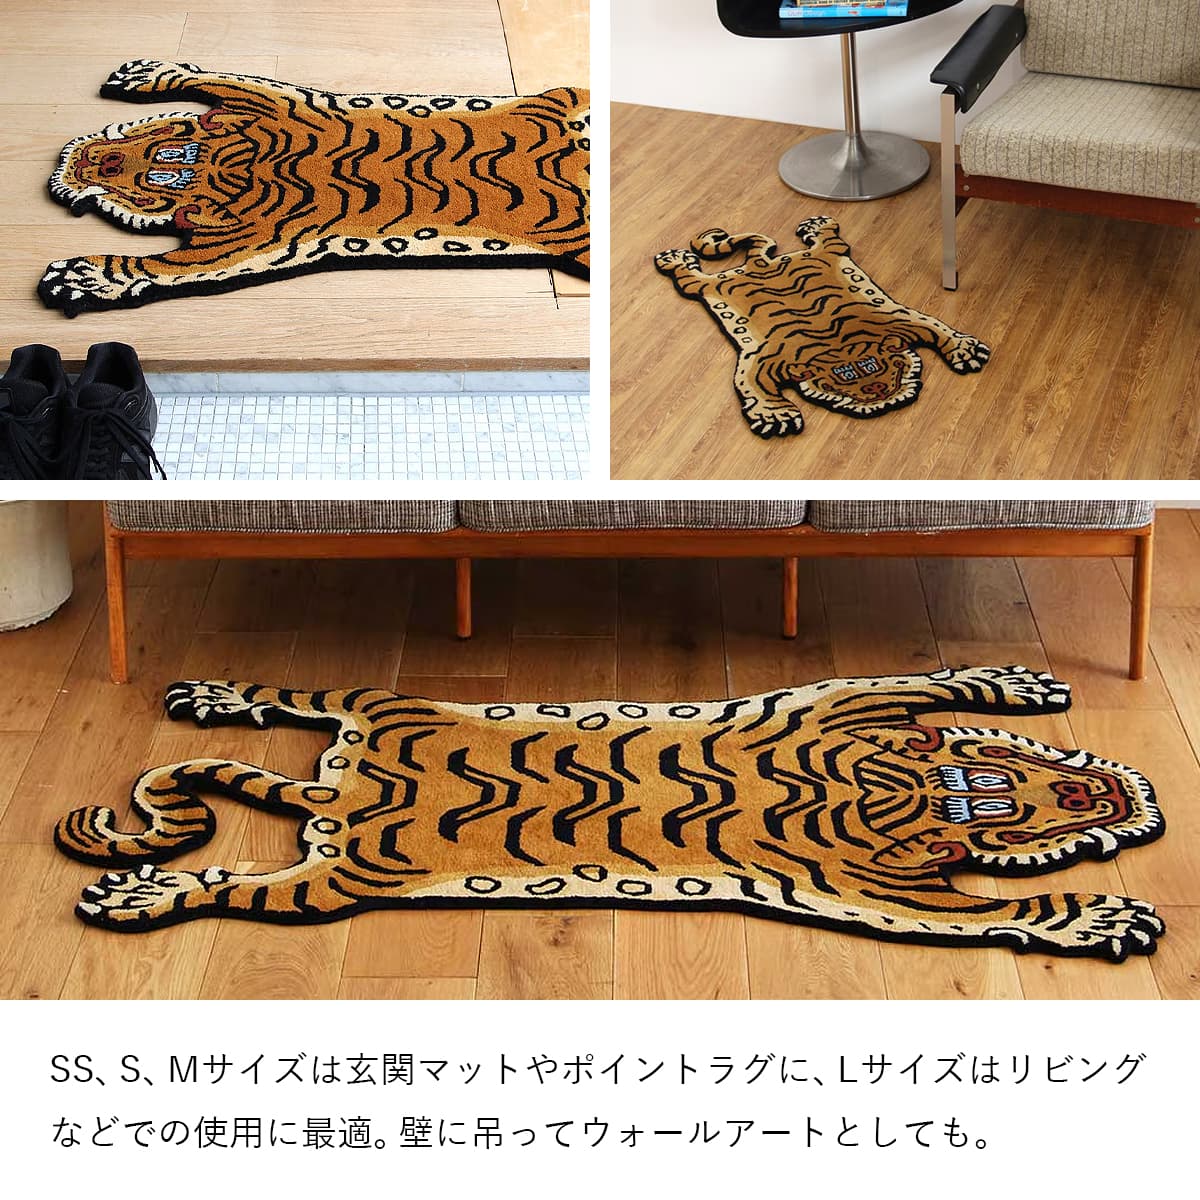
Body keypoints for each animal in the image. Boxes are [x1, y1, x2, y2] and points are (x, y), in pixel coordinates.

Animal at [40, 59, 590, 316]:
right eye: (164, 154)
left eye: (159, 178)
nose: (90, 161)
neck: (240, 164)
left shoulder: (252, 242)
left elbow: (160, 270)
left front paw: (85, 277)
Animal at [53, 665, 1164, 962]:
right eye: (1005, 814)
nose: (1119, 794)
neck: (893, 785)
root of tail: (335, 791)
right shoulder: (874, 883)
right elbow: (1003, 914)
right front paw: (1104, 916)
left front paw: (1022, 685)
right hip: (330, 873)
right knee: (225, 880)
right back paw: (132, 897)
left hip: (359, 735)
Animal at [654, 217, 990, 438]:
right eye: (843, 376)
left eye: (874, 366)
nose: (874, 389)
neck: (838, 346)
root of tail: (759, 263)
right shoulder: (763, 359)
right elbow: (752, 383)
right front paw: (777, 416)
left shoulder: (894, 318)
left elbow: (934, 325)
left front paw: (966, 351)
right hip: (708, 287)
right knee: (690, 277)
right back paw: (674, 258)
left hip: (825, 252)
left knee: (830, 239)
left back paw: (815, 224)